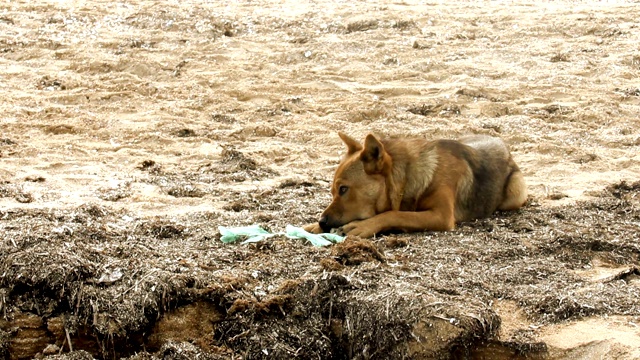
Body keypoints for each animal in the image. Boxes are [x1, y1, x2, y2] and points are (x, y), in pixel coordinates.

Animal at [304, 131, 524, 238]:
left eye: (344, 189)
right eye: (333, 191)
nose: (322, 222)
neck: (408, 178)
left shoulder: (441, 215)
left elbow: (395, 213)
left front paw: (363, 226)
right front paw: (313, 226)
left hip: (515, 194)